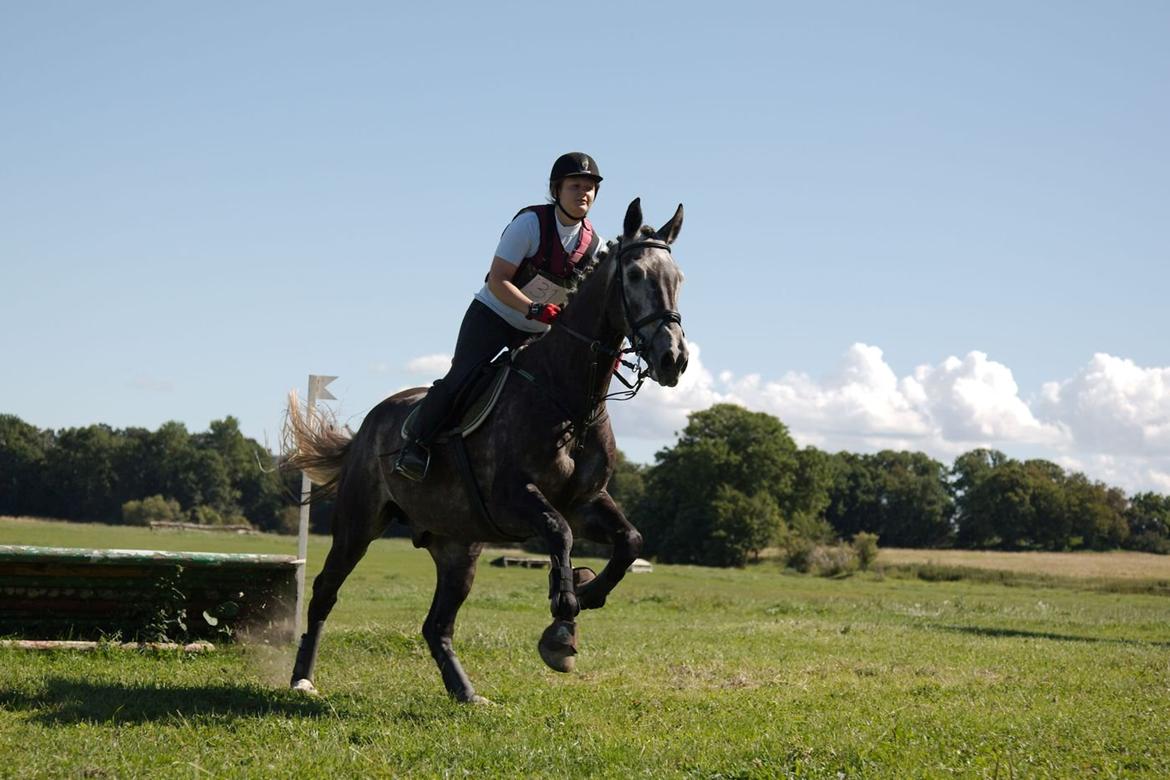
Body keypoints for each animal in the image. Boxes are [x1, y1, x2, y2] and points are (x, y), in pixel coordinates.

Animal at [280, 198, 683, 706]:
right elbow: (560, 534)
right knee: (325, 592)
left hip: (458, 546)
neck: (570, 399)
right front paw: (563, 619)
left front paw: (585, 594)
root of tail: (368, 425)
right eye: (634, 275)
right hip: (358, 523)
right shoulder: (515, 498)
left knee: (437, 625)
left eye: (678, 279)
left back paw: (466, 693)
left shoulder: (586, 501)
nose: (674, 359)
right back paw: (302, 678)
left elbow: (630, 540)